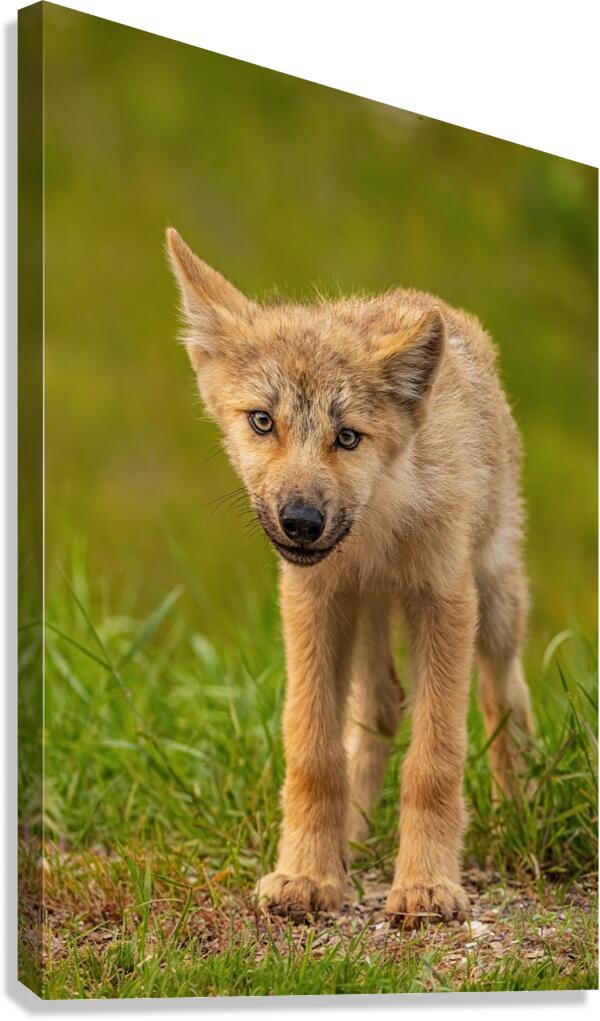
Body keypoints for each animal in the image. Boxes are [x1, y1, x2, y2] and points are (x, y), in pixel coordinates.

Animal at [167, 227, 534, 926]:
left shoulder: (444, 602)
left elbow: (434, 760)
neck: (379, 531)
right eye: (263, 421)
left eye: (347, 437)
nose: (301, 521)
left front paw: (426, 886)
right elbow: (315, 751)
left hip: (496, 602)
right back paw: (354, 841)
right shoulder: (315, 599)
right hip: (364, 616)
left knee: (505, 698)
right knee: (378, 708)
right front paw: (308, 873)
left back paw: (517, 815)